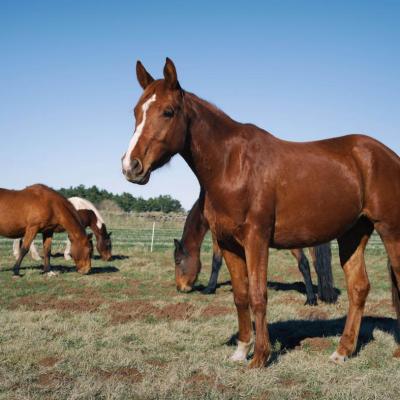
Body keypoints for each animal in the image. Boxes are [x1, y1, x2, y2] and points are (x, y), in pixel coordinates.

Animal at [173, 192, 336, 304]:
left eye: (178, 261)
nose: (180, 288)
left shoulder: (217, 236)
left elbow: (216, 262)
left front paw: (209, 288)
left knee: (304, 264)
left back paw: (311, 299)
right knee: (318, 265)